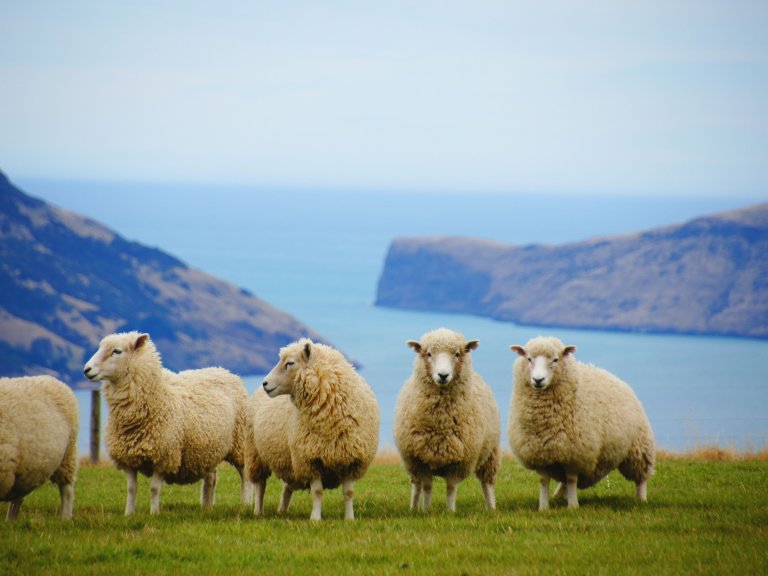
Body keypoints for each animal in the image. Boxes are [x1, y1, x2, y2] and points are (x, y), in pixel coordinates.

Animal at [0, 376, 79, 520]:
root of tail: (49, 377)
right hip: (26, 467)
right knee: (18, 497)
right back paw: (11, 520)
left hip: (67, 456)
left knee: (67, 489)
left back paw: (65, 518)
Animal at [84, 330, 252, 516]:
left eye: (117, 351)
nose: (86, 370)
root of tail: (224, 370)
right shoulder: (128, 458)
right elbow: (131, 489)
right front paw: (128, 514)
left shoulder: (164, 456)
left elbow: (154, 489)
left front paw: (154, 514)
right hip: (209, 447)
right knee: (211, 478)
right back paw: (207, 506)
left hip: (240, 443)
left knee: (245, 475)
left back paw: (245, 504)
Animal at [260, 338, 380, 520]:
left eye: (290, 363)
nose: (265, 383)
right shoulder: (310, 458)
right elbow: (317, 492)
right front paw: (315, 518)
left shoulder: (351, 458)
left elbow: (349, 493)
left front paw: (349, 518)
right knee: (259, 486)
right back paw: (257, 511)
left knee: (287, 487)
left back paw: (282, 511)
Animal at [392, 328, 500, 512]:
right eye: (429, 354)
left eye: (457, 354)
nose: (443, 375)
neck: (440, 421)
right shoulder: (421, 459)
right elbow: (427, 486)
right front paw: (426, 510)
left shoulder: (459, 461)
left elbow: (451, 488)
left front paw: (450, 511)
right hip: (411, 463)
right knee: (416, 486)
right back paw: (413, 508)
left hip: (490, 453)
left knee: (487, 483)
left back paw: (491, 507)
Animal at [510, 336, 656, 510]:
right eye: (529, 359)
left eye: (555, 359)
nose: (538, 380)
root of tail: (617, 379)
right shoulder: (540, 453)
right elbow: (544, 481)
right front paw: (544, 507)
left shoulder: (577, 453)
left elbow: (572, 479)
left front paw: (573, 507)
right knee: (563, 481)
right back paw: (560, 495)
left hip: (638, 447)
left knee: (641, 477)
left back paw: (642, 499)